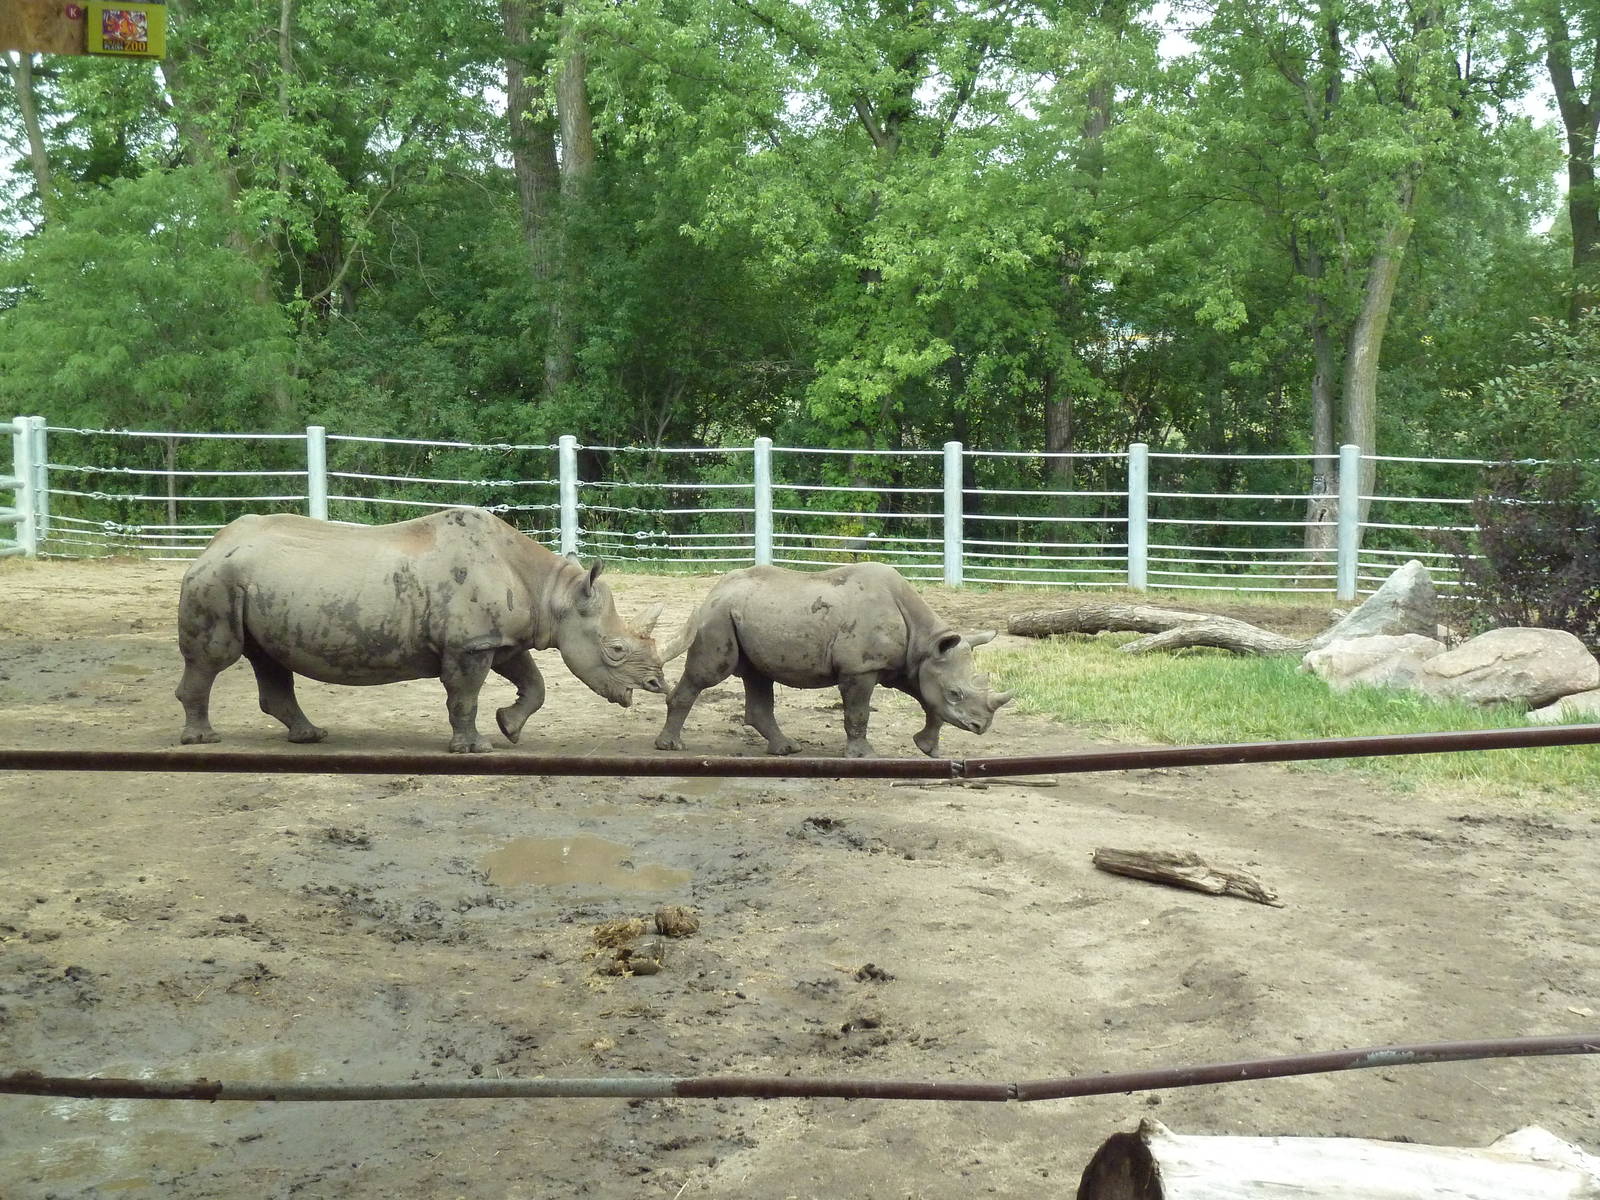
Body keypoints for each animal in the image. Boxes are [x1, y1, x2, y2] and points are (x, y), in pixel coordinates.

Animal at [176, 508, 666, 752]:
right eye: (615, 649)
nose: (657, 685)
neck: (553, 594)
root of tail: (210, 546)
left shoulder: (500, 640)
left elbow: (535, 684)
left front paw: (509, 728)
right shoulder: (470, 645)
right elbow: (464, 696)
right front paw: (475, 749)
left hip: (249, 581)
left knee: (268, 658)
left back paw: (311, 737)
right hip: (216, 581)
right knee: (216, 656)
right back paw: (203, 740)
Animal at [654, 562, 1013, 758]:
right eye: (956, 693)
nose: (981, 727)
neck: (926, 642)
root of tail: (713, 590)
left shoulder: (910, 666)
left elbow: (931, 705)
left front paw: (929, 749)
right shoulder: (861, 668)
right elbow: (858, 713)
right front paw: (864, 755)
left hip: (743, 612)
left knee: (758, 676)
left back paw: (787, 749)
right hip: (716, 617)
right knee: (709, 674)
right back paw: (670, 746)